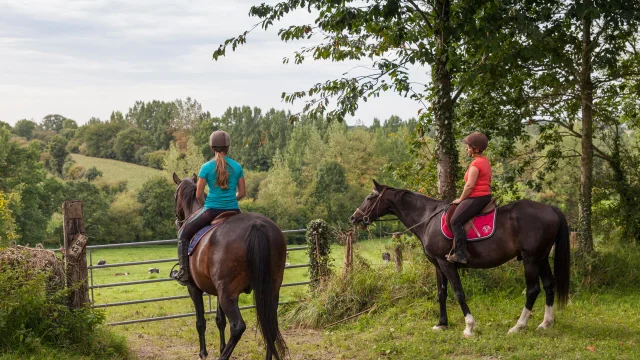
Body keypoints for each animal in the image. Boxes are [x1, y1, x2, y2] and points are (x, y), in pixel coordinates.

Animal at [350, 181, 568, 336]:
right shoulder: (438, 265)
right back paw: (546, 323)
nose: (354, 218)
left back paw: (518, 326)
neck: (428, 218)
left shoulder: (446, 263)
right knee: (549, 284)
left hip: (531, 259)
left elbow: (458, 292)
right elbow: (442, 293)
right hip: (541, 257)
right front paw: (442, 324)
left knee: (533, 290)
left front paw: (469, 327)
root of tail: (552, 209)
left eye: (370, 197)